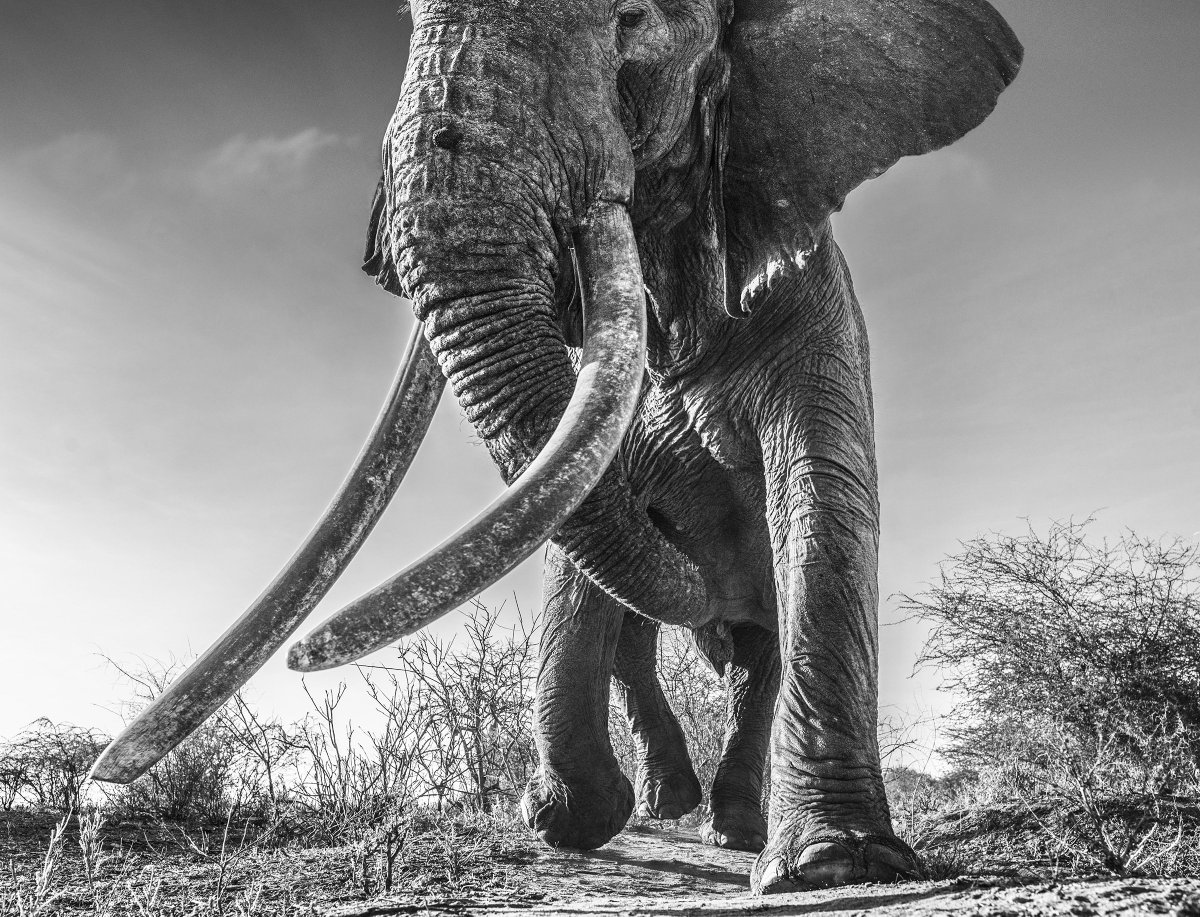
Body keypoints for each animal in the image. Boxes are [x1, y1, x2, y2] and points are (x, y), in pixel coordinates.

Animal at [90, 0, 1022, 894]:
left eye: (632, 18)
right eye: (409, 28)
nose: (101, 777)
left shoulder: (816, 307)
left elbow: (818, 491)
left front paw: (838, 863)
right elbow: (571, 521)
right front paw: (566, 819)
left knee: (751, 648)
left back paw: (732, 829)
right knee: (649, 633)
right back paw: (676, 804)